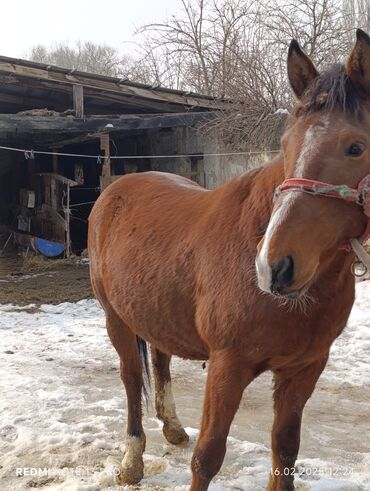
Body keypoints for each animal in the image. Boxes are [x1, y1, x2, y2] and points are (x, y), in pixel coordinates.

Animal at [88, 30, 370, 491]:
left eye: (355, 147)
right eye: (285, 145)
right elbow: (208, 457)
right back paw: (132, 460)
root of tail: (116, 190)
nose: (274, 267)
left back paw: (172, 428)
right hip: (117, 319)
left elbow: (285, 451)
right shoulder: (227, 365)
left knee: (161, 360)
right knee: (131, 380)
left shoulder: (304, 369)